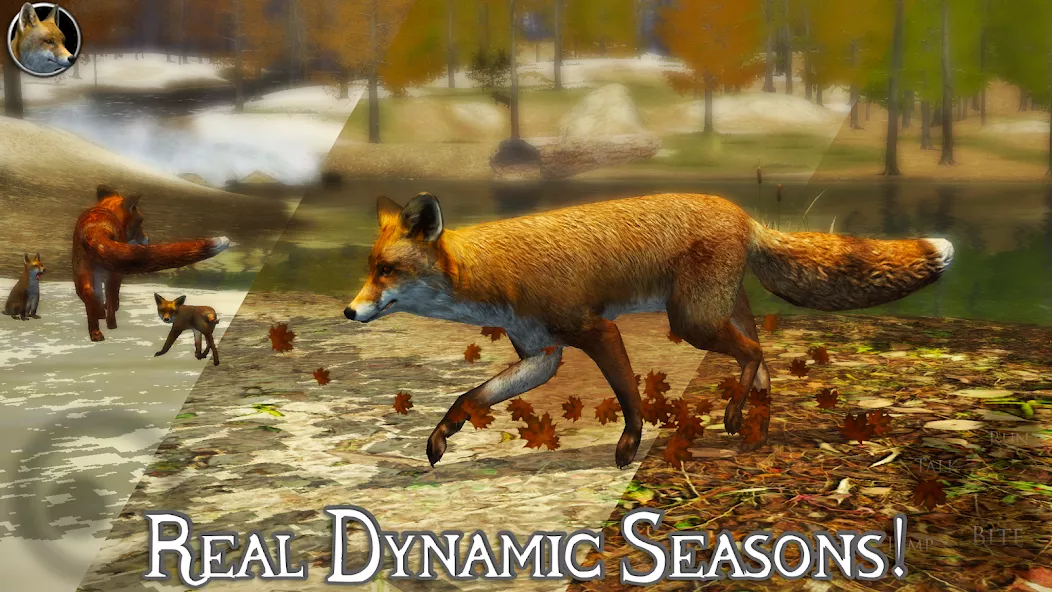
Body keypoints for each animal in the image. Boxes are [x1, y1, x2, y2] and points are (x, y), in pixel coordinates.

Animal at [73, 184, 231, 342]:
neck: (107, 210)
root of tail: (95, 228)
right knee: (109, 300)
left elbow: (99, 296)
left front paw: (100, 312)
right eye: (140, 221)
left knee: (88, 294)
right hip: (110, 273)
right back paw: (110, 326)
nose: (148, 239)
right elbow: (112, 300)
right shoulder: (113, 274)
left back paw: (95, 332)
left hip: (81, 273)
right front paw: (106, 315)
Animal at [344, 192, 954, 469]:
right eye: (369, 269)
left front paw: (630, 445)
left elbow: (629, 395)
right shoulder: (543, 353)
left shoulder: (596, 330)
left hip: (693, 322)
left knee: (751, 353)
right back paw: (755, 421)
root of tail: (742, 214)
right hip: (715, 313)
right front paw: (440, 436)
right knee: (761, 357)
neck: (494, 273)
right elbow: (471, 397)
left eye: (387, 271)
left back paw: (735, 415)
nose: (349, 312)